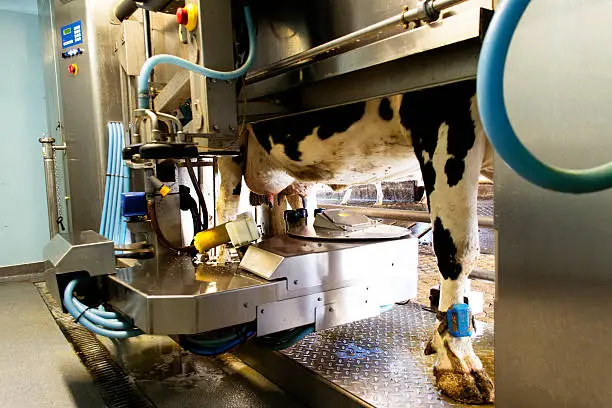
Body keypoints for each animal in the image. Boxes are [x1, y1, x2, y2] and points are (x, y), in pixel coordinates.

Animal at [218, 80, 494, 404]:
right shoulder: (445, 119)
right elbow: (459, 249)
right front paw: (458, 364)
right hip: (230, 146)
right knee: (224, 203)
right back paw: (219, 257)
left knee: (291, 205)